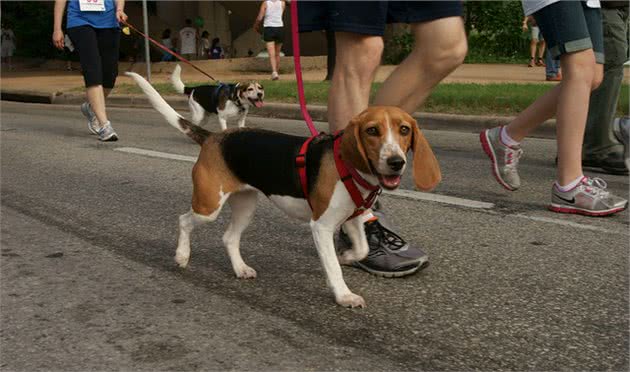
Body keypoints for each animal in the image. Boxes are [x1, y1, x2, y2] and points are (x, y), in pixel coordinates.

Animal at [126, 72, 442, 308]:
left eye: (404, 130)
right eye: (372, 131)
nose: (396, 162)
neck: (352, 169)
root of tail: (214, 137)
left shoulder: (352, 219)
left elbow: (362, 248)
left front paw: (350, 256)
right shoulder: (321, 226)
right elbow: (332, 267)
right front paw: (344, 295)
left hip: (245, 205)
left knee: (229, 238)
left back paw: (240, 269)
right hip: (209, 204)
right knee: (184, 220)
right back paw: (181, 255)